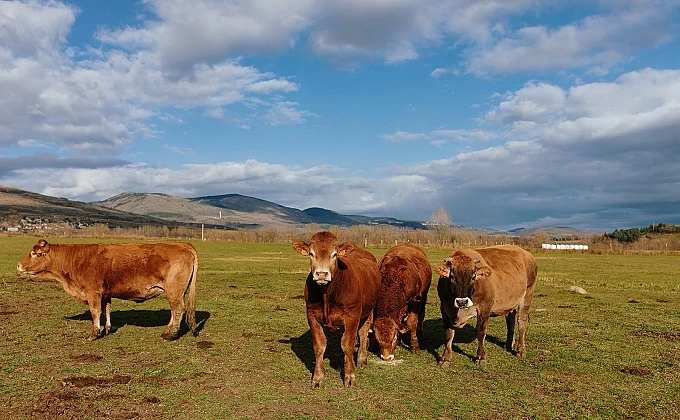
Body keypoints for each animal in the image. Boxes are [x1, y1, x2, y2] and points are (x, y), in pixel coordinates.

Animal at [17, 240, 198, 342]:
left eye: (35, 253)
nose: (18, 265)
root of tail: (183, 244)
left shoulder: (93, 293)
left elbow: (95, 312)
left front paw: (94, 333)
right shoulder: (105, 294)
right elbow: (106, 310)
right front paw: (106, 330)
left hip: (174, 290)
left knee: (178, 310)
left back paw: (170, 335)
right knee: (176, 311)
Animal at [290, 231, 380, 388]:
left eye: (334, 254)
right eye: (311, 254)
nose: (321, 274)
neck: (327, 294)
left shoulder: (352, 316)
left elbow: (348, 345)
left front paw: (349, 376)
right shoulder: (311, 315)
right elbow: (319, 346)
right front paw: (318, 378)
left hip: (369, 310)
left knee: (363, 334)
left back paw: (361, 359)